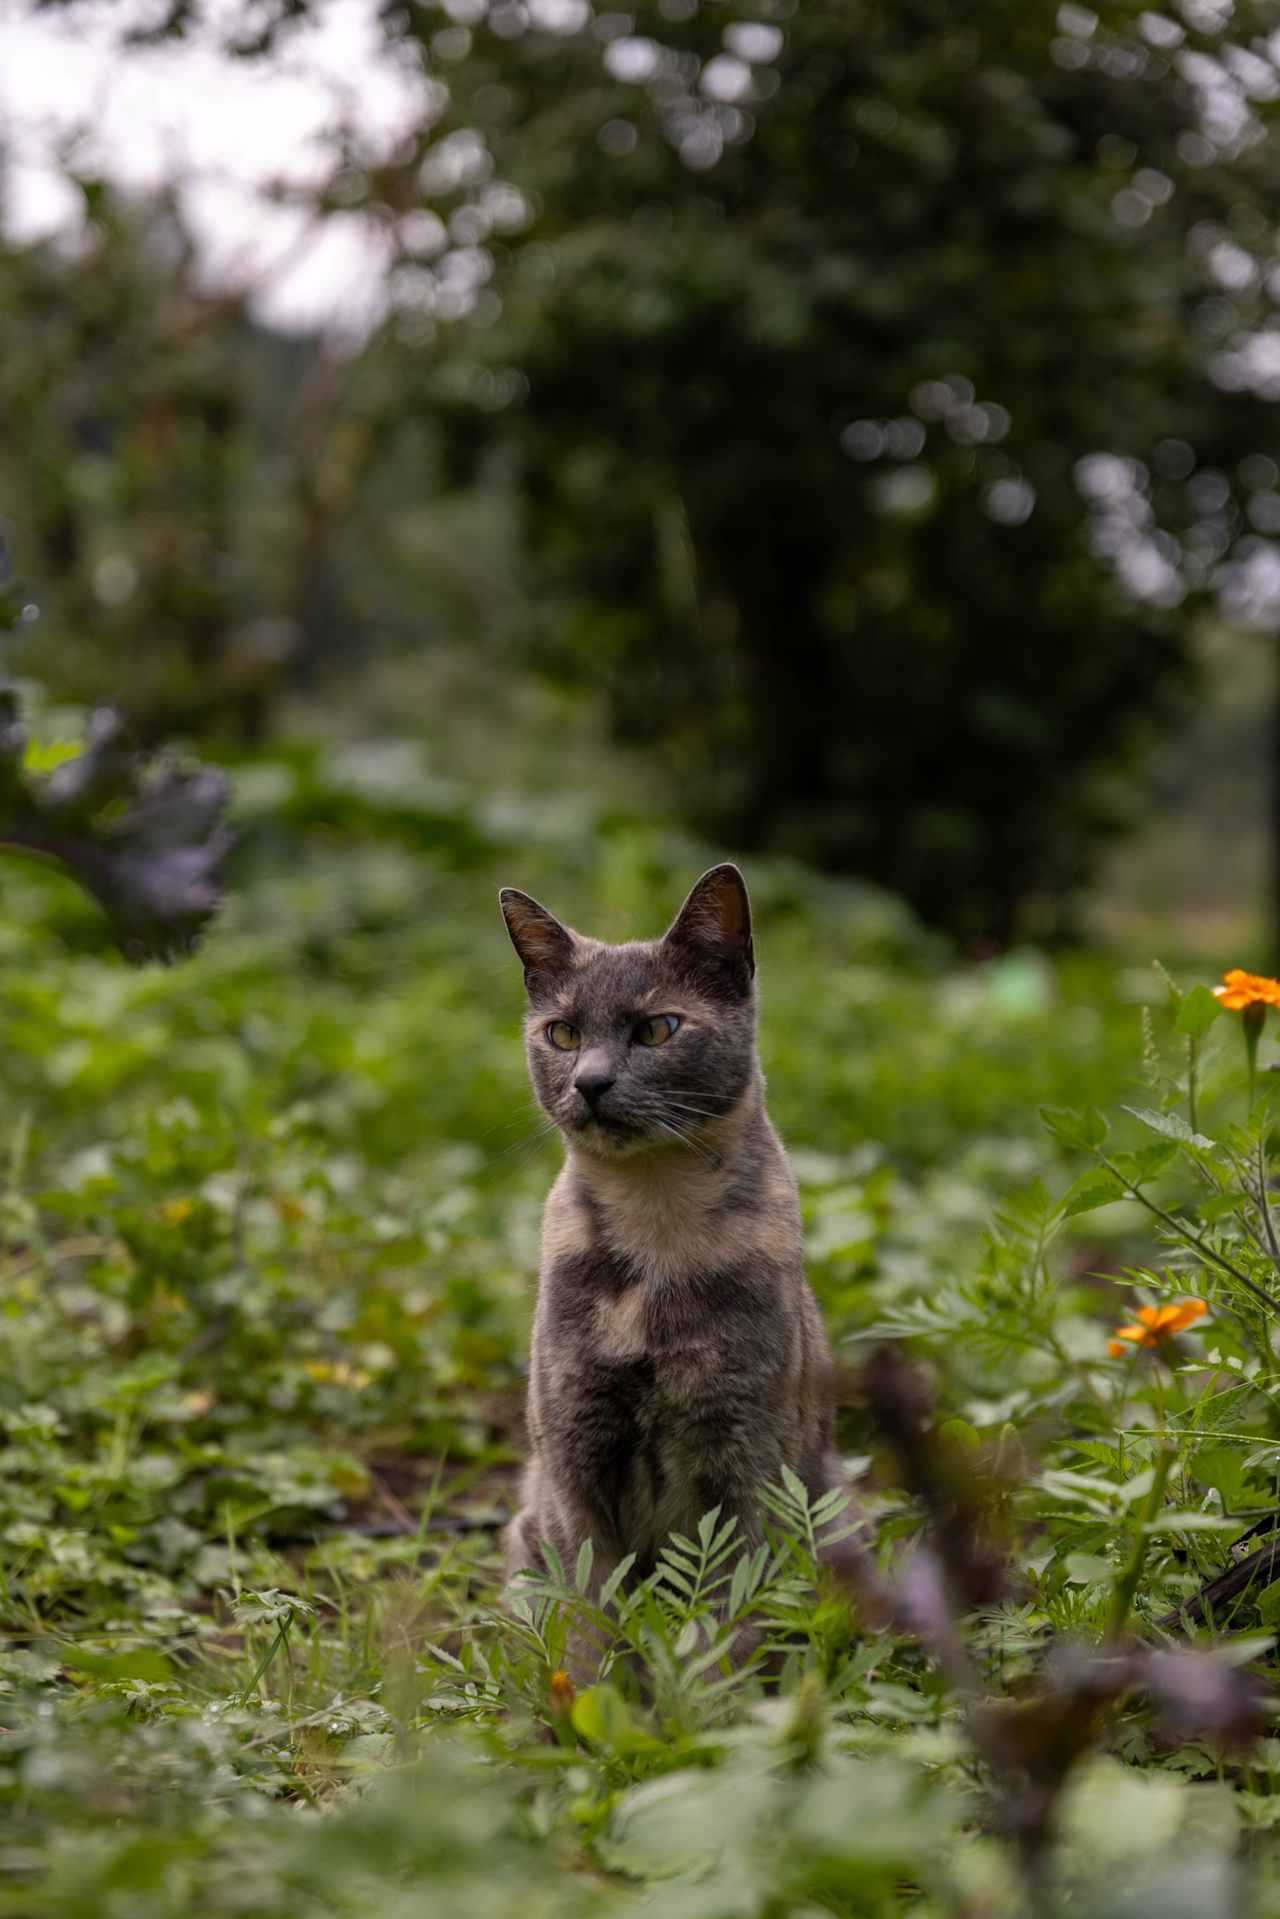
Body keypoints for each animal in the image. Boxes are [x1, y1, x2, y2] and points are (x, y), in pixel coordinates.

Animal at [498, 871, 852, 1634]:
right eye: (563, 1032)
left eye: (658, 1028)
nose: (590, 1082)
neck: (655, 1228)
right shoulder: (573, 1467)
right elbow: (592, 1623)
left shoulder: (747, 1464)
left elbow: (721, 1621)